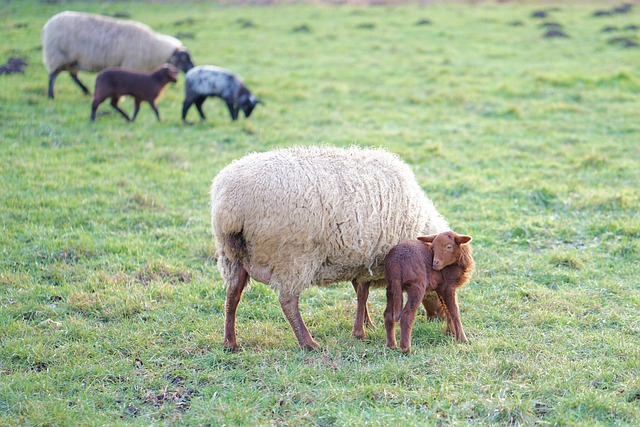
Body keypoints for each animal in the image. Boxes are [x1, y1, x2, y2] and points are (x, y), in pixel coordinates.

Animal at [42, 11, 194, 99]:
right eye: (184, 59)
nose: (192, 69)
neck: (154, 47)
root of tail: (48, 24)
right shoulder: (131, 63)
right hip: (57, 55)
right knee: (52, 76)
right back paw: (51, 95)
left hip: (72, 59)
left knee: (73, 76)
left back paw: (86, 91)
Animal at [211, 145, 450, 352]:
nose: (439, 318)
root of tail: (231, 206)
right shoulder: (371, 260)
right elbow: (362, 293)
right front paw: (361, 330)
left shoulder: (360, 258)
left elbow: (359, 292)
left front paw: (365, 324)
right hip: (293, 257)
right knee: (288, 302)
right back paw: (308, 343)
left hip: (233, 257)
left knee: (232, 295)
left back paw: (230, 343)